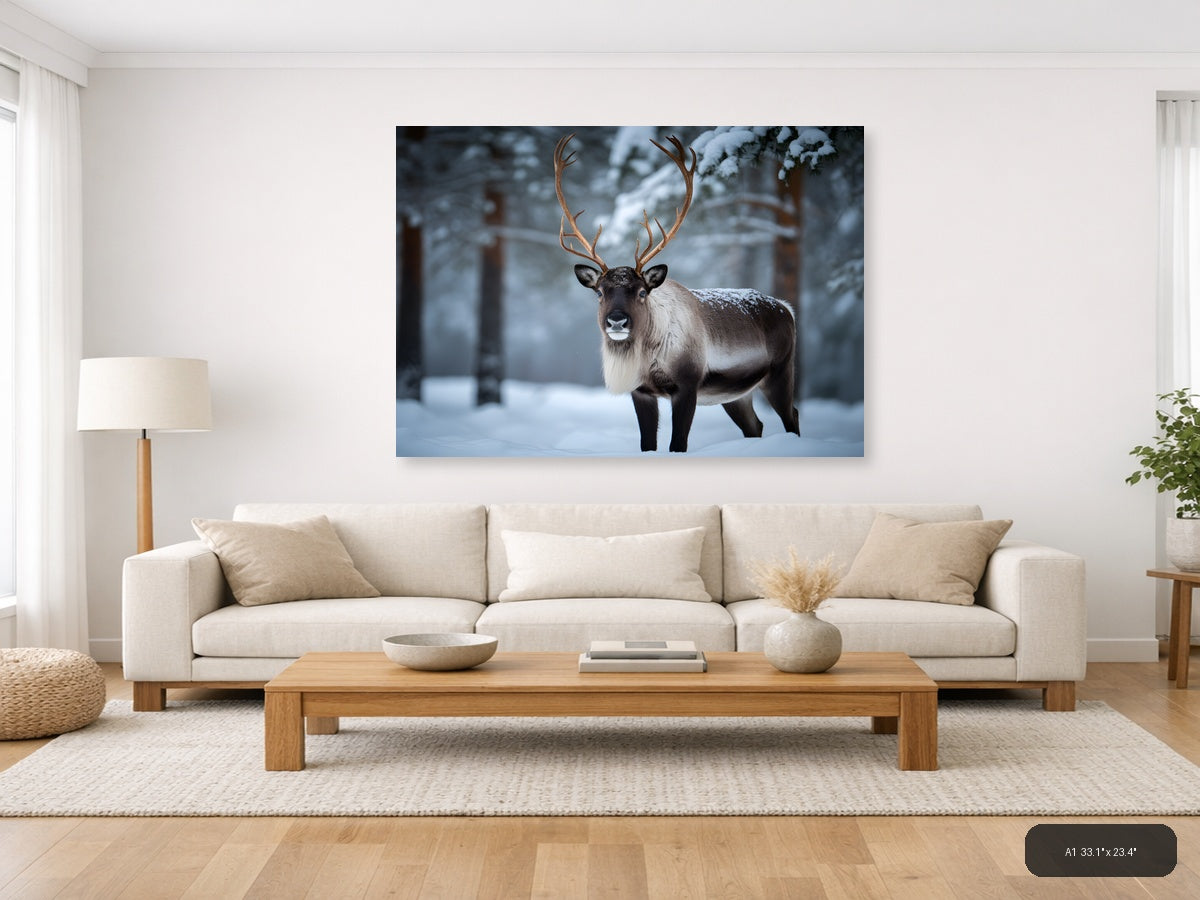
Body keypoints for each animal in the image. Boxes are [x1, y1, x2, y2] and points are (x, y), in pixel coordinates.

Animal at [554, 133, 801, 453]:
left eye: (642, 292)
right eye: (599, 292)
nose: (617, 321)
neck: (649, 360)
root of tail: (787, 309)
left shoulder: (687, 385)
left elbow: (678, 444)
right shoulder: (641, 392)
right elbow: (647, 444)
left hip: (780, 371)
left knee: (792, 415)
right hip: (736, 394)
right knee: (755, 426)